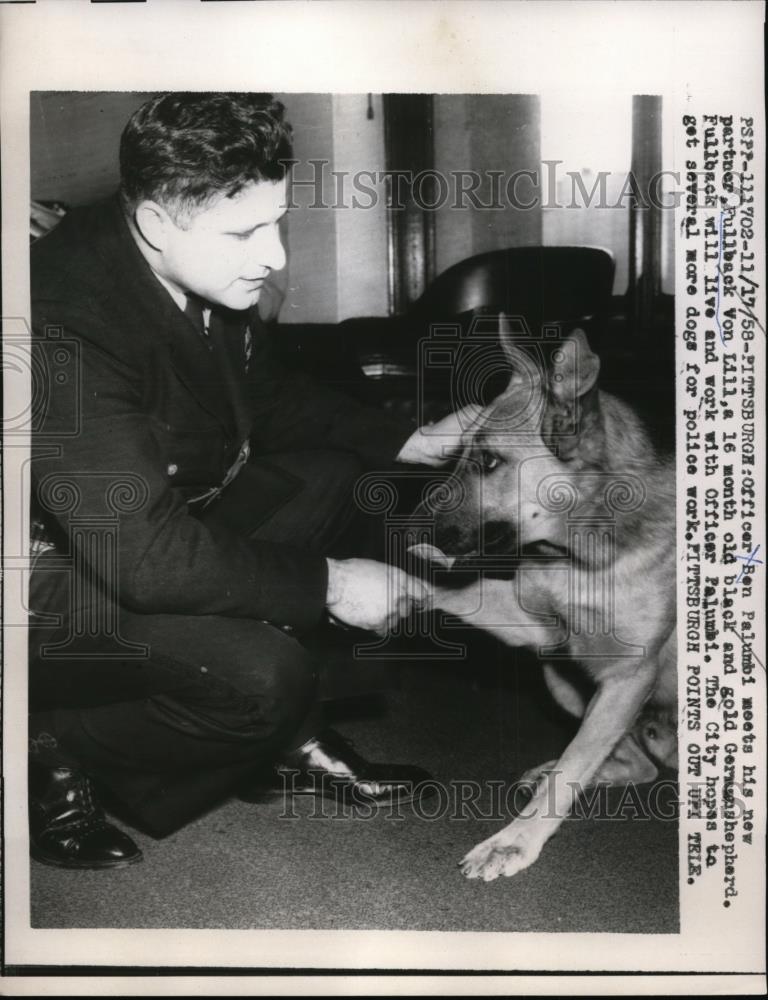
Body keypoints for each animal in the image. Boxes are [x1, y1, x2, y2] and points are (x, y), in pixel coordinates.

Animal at [414, 322, 680, 884]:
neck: (580, 555)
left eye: (489, 461)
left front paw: (512, 842)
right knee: (638, 765)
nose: (409, 531)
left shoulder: (627, 678)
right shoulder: (539, 626)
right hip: (560, 676)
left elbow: (576, 763)